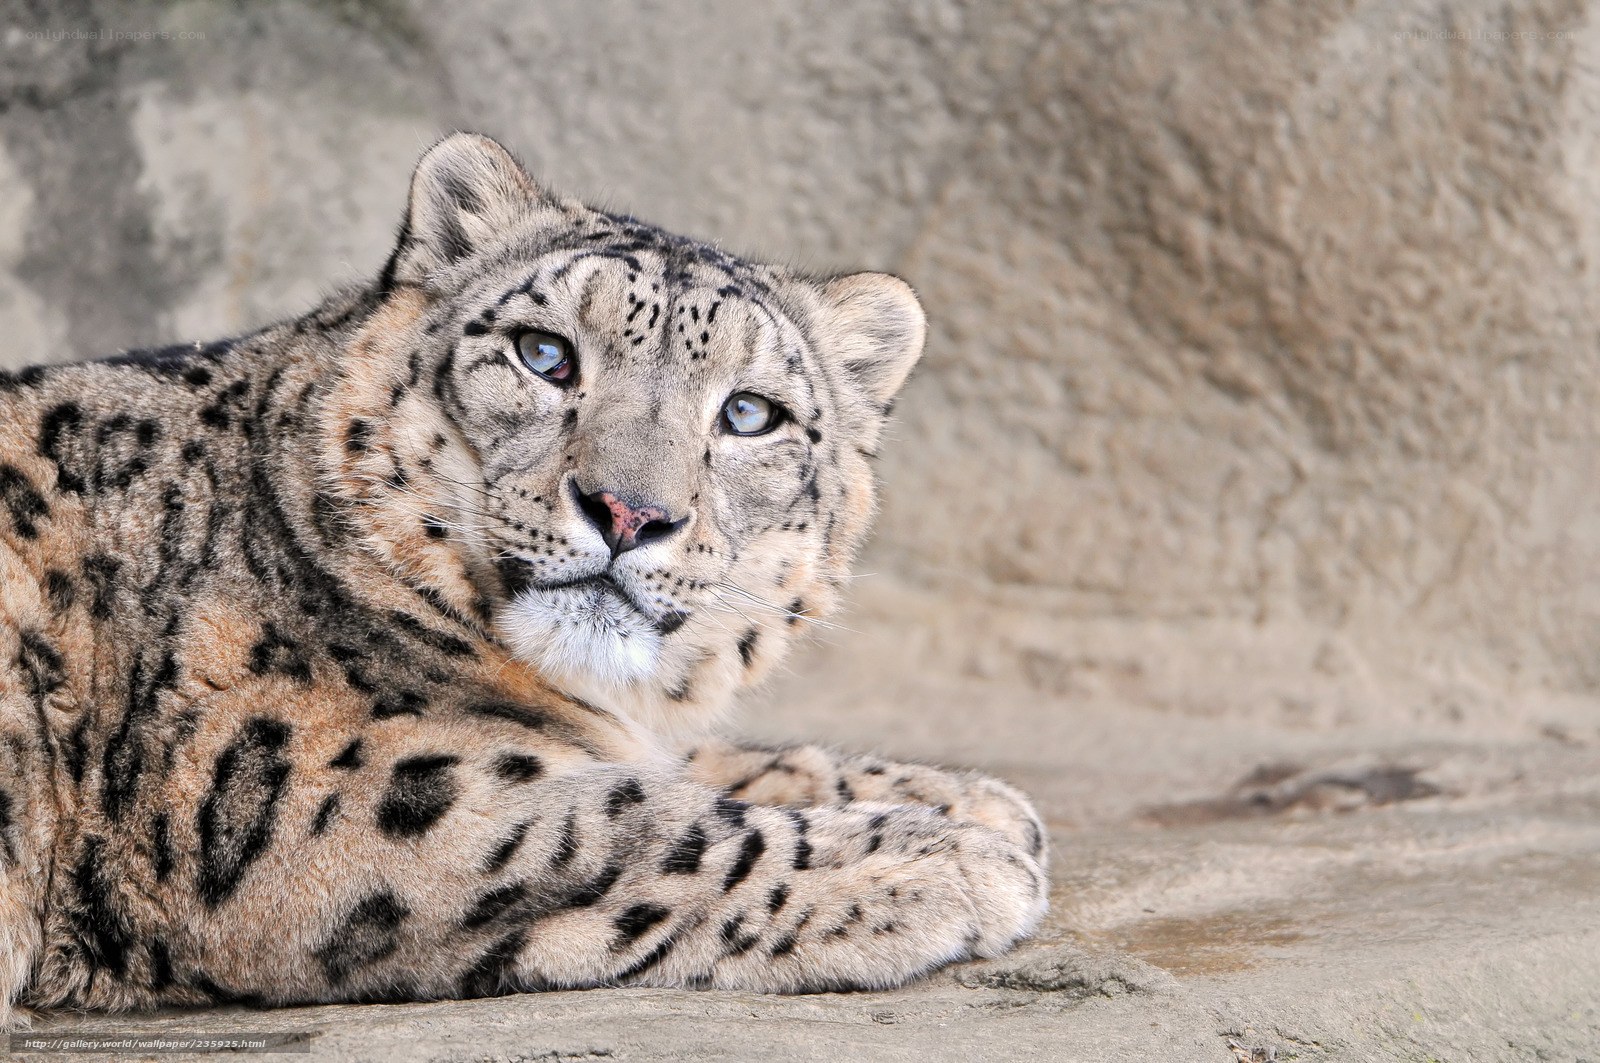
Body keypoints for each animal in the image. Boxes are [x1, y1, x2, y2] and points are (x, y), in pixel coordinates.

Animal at [0, 133, 1048, 1022]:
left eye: (750, 413)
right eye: (545, 354)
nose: (628, 511)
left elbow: (696, 765)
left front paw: (966, 798)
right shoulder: (317, 794)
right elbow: (634, 825)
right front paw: (949, 855)